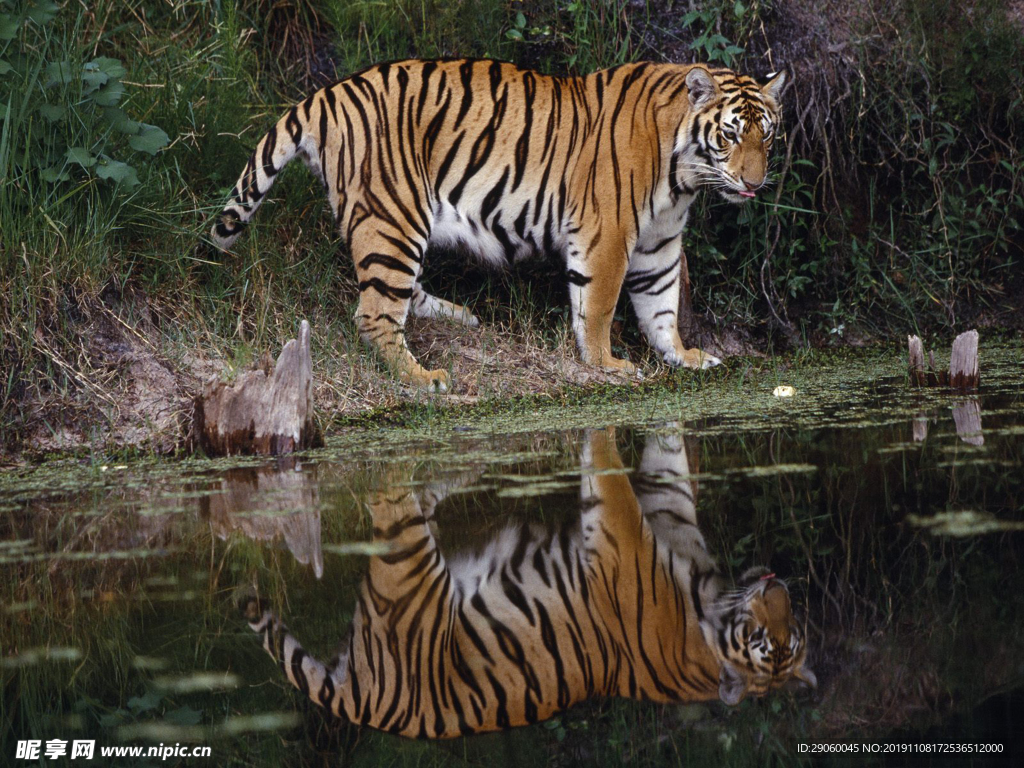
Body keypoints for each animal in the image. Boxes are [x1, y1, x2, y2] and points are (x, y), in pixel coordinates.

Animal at [207, 59, 782, 391]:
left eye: (768, 135)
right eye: (730, 135)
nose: (754, 184)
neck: (684, 175)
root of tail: (325, 95)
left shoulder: (659, 241)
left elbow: (662, 303)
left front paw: (683, 356)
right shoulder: (608, 232)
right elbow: (599, 305)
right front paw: (607, 365)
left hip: (395, 225)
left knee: (400, 293)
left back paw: (460, 317)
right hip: (393, 215)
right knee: (374, 313)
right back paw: (425, 377)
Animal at [241, 428, 815, 741]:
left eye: (786, 637)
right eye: (764, 639)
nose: (778, 586)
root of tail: (370, 706)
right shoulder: (635, 533)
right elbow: (629, 473)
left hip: (403, 565)